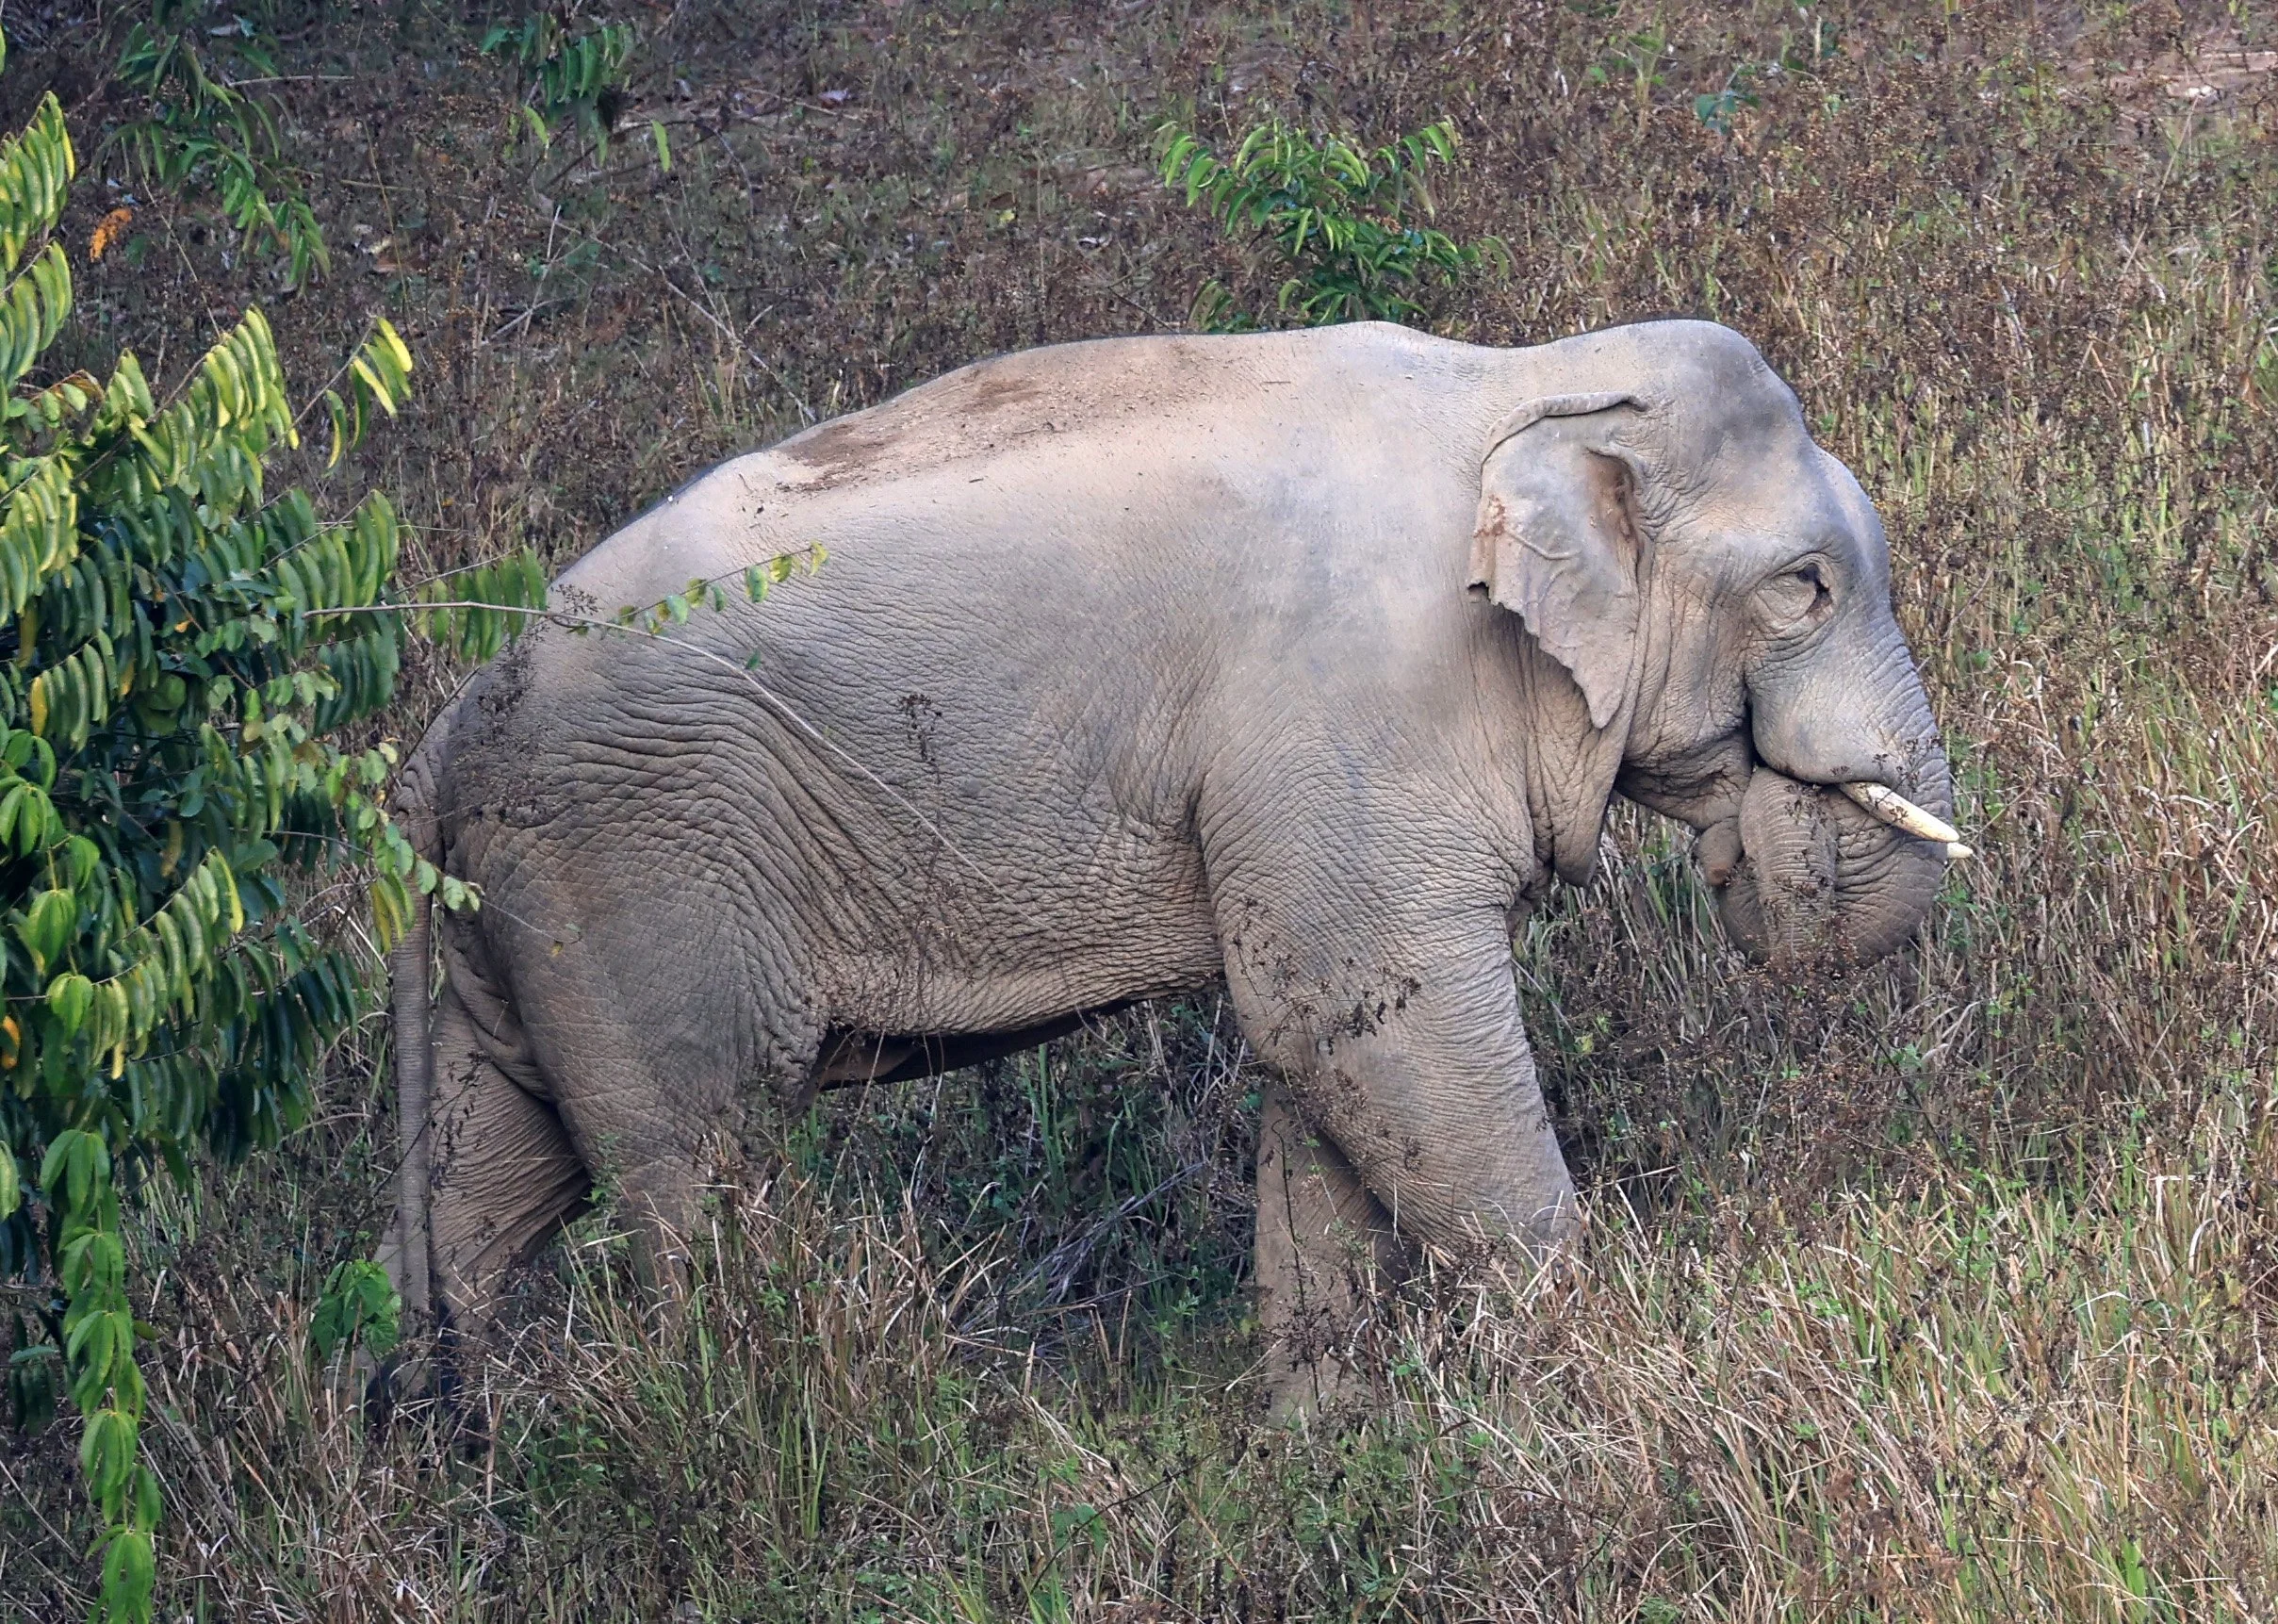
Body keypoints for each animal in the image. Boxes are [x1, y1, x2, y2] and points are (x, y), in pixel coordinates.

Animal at [378, 317, 1961, 1407]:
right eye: (1804, 585)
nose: (1776, 828)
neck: (1527, 381)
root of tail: (442, 739)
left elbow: (1321, 1049)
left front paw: (1324, 1439)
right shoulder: (1354, 714)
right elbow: (1368, 1020)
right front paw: (1585, 1375)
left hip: (524, 912)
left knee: (487, 1179)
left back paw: (465, 1460)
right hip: (640, 867)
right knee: (704, 1163)